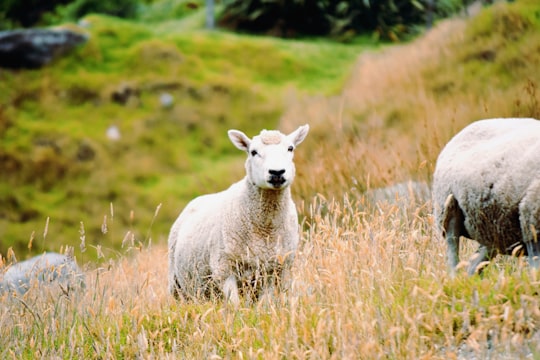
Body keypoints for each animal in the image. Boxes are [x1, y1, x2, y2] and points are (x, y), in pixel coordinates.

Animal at [169, 124, 312, 304]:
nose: (277, 172)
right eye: (253, 152)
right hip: (176, 282)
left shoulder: (272, 271)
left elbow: (265, 304)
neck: (265, 229)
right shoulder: (224, 269)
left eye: (290, 148)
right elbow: (235, 305)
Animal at [432, 118, 540, 276]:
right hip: (448, 210)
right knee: (453, 255)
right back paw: (454, 279)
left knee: (473, 266)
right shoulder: (531, 224)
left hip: (493, 229)